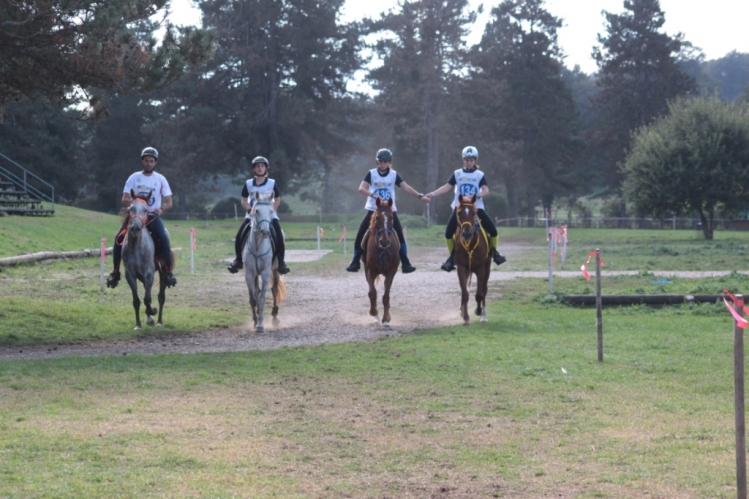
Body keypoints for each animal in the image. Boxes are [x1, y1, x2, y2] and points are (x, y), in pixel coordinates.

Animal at [121, 193, 169, 330]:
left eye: (145, 209)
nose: (135, 228)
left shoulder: (149, 274)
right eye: (131, 208)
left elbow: (147, 299)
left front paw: (152, 311)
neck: (136, 246)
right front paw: (138, 325)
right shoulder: (130, 275)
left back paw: (159, 322)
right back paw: (150, 319)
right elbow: (137, 301)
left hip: (163, 273)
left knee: (161, 297)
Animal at [243, 193, 286, 334]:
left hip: (275, 270)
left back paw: (275, 318)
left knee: (274, 290)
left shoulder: (266, 273)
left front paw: (260, 325)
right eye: (256, 211)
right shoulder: (249, 274)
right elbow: (253, 299)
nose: (266, 232)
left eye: (271, 211)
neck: (257, 246)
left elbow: (262, 298)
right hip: (256, 275)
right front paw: (255, 322)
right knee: (257, 291)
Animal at [360, 197, 398, 326]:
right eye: (377, 218)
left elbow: (386, 296)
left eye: (392, 217)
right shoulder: (370, 271)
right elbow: (372, 293)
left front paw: (386, 319)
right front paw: (374, 313)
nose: (385, 241)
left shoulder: (391, 272)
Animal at [450, 195, 490, 328]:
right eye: (459, 213)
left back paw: (484, 316)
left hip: (487, 267)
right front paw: (466, 318)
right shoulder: (462, 268)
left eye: (474, 213)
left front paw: (478, 311)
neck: (470, 244)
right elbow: (465, 293)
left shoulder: (481, 269)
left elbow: (479, 294)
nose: (466, 234)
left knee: (484, 290)